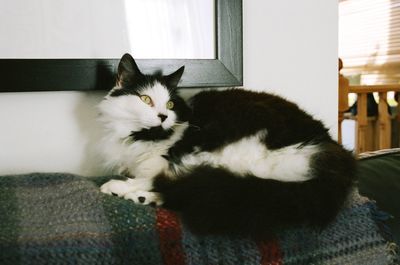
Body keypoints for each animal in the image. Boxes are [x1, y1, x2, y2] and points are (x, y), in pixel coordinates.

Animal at [98, 53, 354, 235]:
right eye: (145, 99)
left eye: (170, 104)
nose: (163, 116)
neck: (144, 136)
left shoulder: (176, 159)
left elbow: (151, 176)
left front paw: (117, 186)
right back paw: (144, 199)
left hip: (234, 153)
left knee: (184, 185)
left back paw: (130, 192)